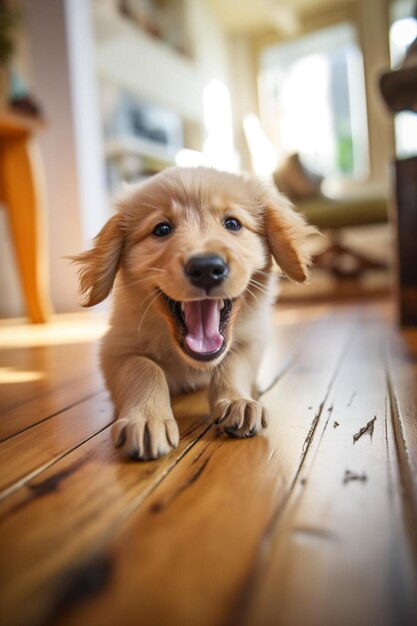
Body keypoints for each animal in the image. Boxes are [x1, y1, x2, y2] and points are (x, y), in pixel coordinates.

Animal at [74, 166, 312, 458]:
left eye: (232, 224)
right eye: (162, 229)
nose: (207, 267)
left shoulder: (254, 338)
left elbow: (233, 361)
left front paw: (239, 402)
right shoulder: (114, 348)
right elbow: (144, 367)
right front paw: (147, 418)